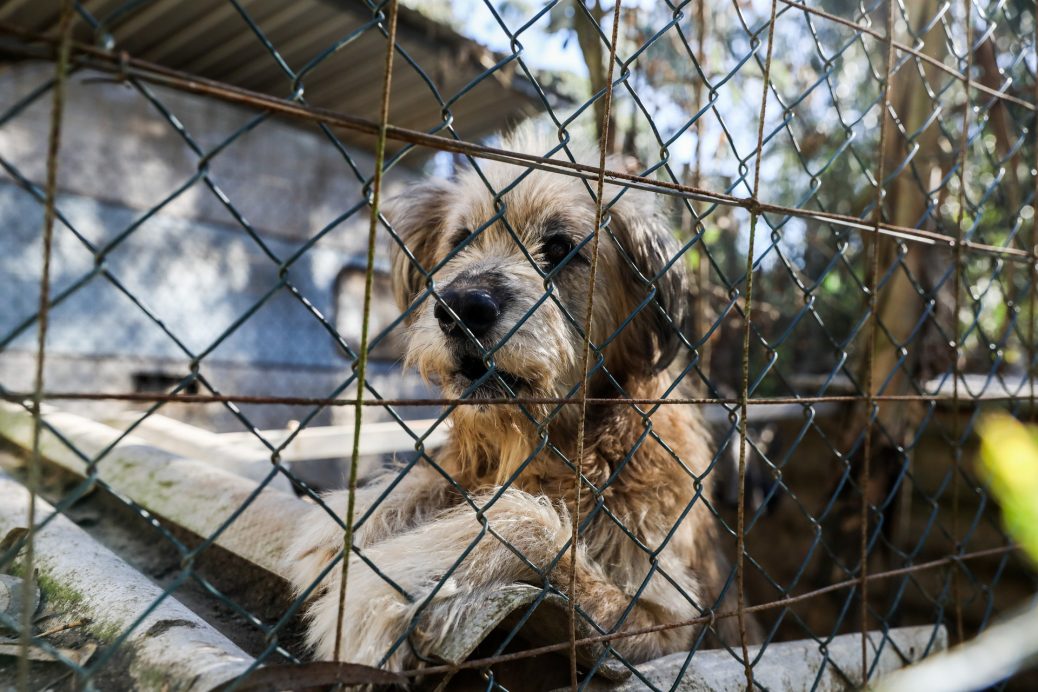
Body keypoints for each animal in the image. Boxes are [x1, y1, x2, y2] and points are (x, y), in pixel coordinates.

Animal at [286, 128, 747, 672]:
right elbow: (431, 477)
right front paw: (342, 528)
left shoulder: (668, 622)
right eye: (462, 239)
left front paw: (384, 587)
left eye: (561, 247)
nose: (462, 307)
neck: (562, 444)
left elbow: (526, 525)